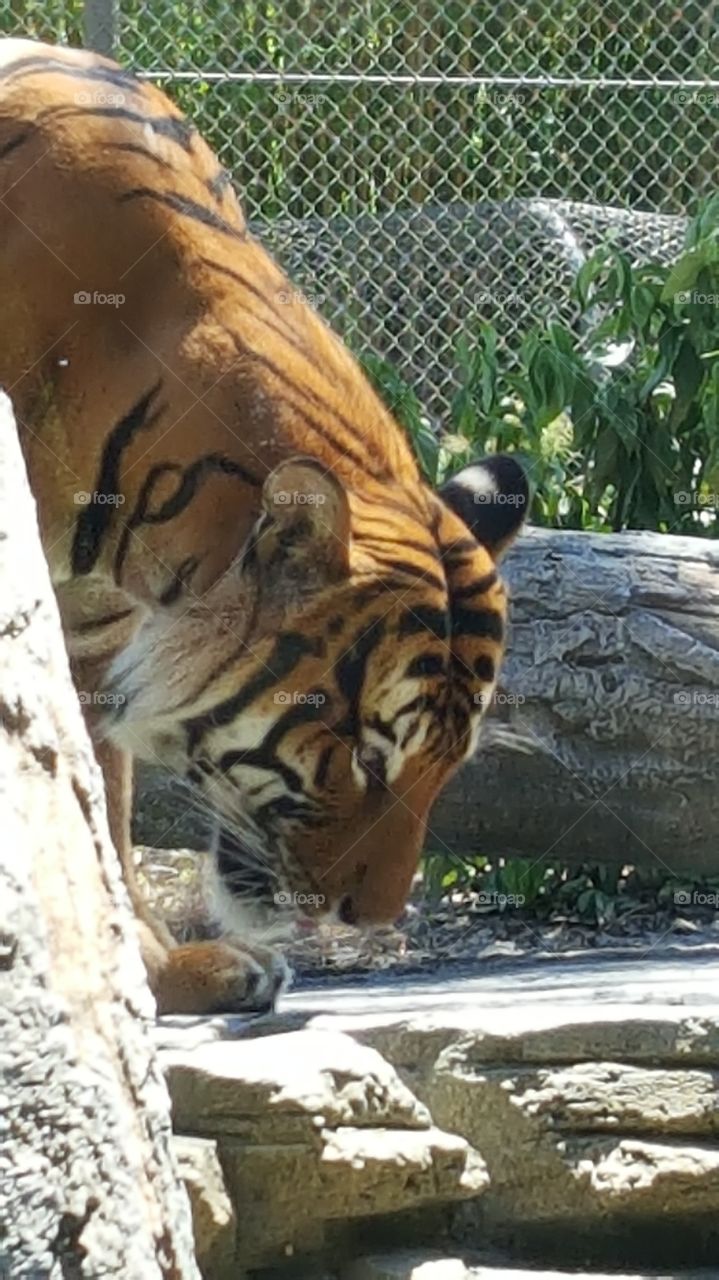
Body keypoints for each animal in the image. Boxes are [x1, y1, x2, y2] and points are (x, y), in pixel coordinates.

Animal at [0, 38, 528, 1015]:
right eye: (364, 757)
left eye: (449, 764)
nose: (369, 920)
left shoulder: (93, 632)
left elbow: (101, 809)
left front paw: (155, 974)